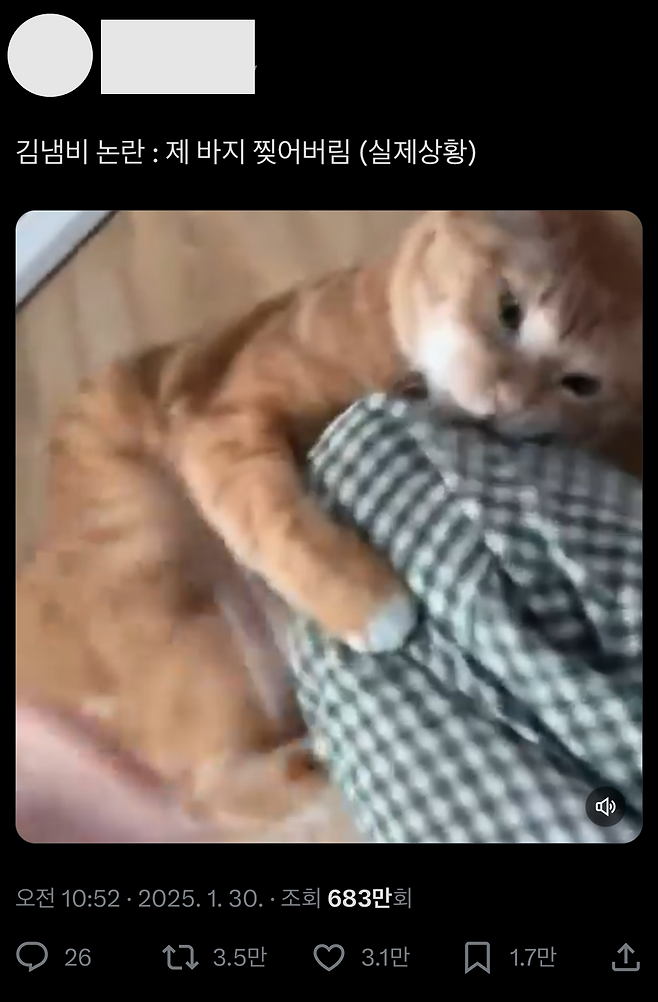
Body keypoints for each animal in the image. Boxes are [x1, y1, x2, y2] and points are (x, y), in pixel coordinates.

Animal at [16, 210, 642, 838]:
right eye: (509, 309)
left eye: (581, 383)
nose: (503, 402)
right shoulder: (225, 425)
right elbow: (278, 520)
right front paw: (376, 610)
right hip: (165, 580)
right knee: (207, 796)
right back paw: (318, 758)